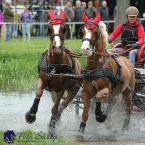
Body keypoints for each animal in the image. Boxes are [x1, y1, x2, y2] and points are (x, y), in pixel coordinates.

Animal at [24, 9, 81, 139]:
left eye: (64, 28)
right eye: (49, 29)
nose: (57, 47)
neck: (55, 64)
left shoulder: (61, 89)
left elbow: (55, 109)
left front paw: (52, 131)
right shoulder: (41, 79)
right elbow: (38, 93)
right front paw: (31, 115)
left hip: (73, 91)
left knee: (61, 106)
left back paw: (55, 121)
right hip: (53, 93)